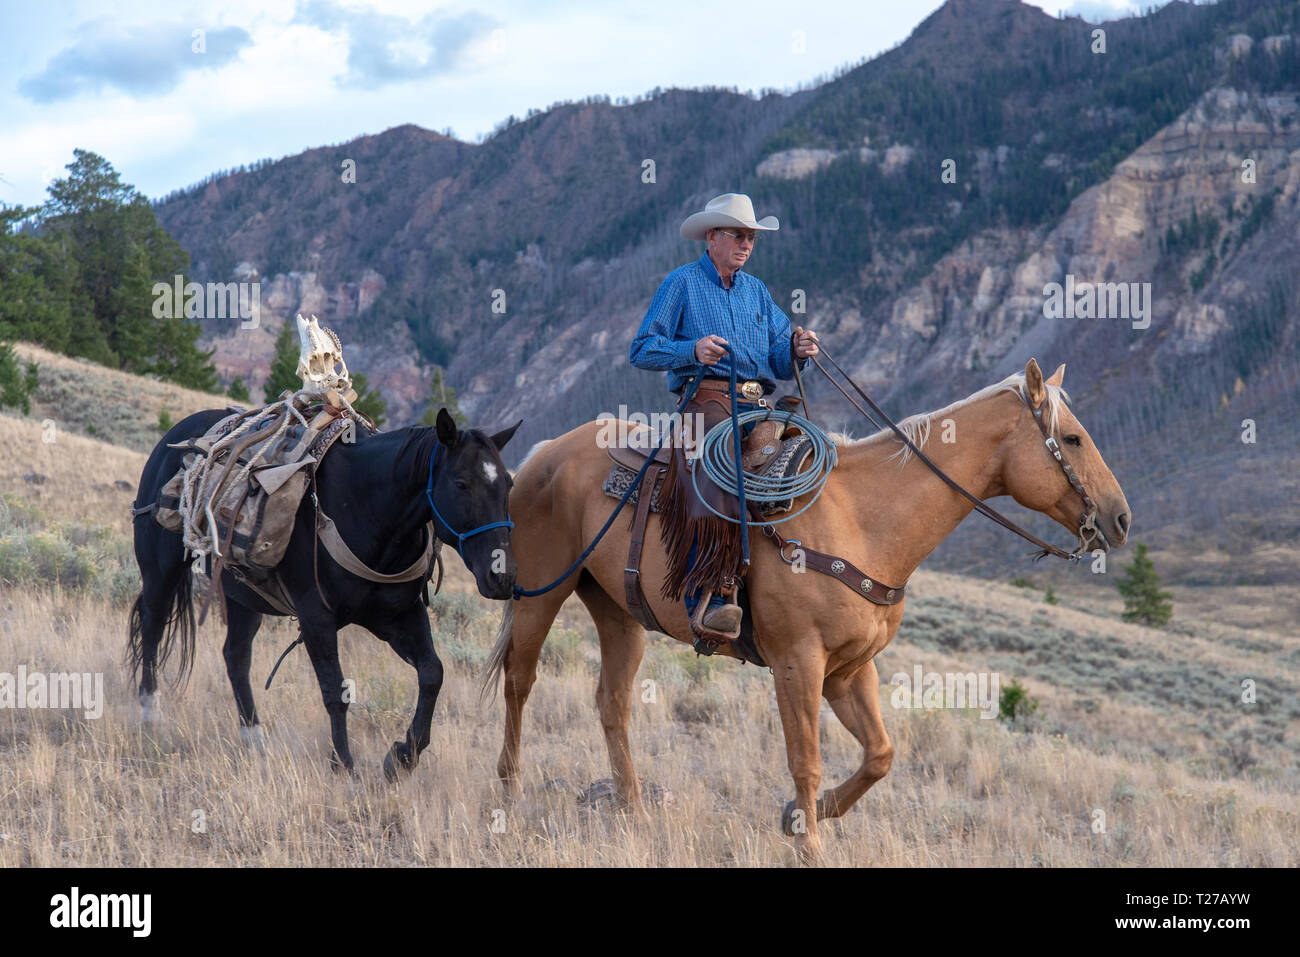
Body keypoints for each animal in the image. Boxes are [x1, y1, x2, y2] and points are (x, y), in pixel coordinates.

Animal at [129, 407, 520, 780]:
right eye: (461, 483)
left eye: (508, 484)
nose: (501, 576)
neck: (367, 510)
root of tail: (176, 437)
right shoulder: (316, 619)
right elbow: (335, 691)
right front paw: (344, 764)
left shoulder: (400, 616)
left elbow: (432, 673)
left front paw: (402, 758)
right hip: (161, 572)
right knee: (152, 628)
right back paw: (149, 714)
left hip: (244, 598)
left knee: (236, 657)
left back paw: (253, 737)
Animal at [482, 358, 1131, 859]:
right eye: (1074, 439)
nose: (1121, 519)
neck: (864, 520)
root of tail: (544, 452)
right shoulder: (798, 663)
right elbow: (806, 759)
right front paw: (809, 841)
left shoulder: (850, 669)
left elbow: (880, 755)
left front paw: (801, 816)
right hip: (541, 593)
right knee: (519, 681)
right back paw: (509, 792)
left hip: (619, 612)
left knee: (612, 704)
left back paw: (633, 809)